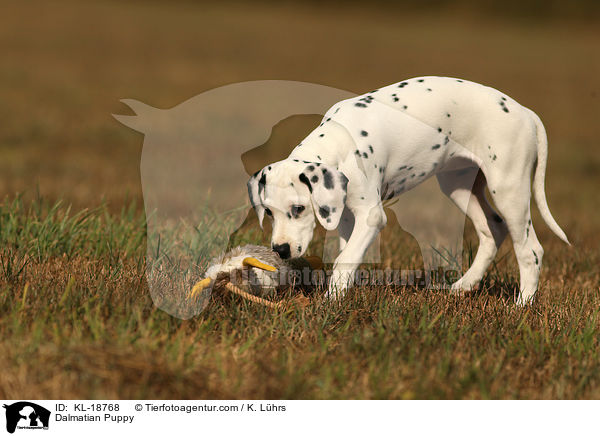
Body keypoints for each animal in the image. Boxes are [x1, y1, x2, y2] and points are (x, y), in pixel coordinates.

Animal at [246, 76, 568, 304]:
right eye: (269, 213)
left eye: (298, 209)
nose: (280, 250)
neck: (340, 141)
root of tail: (525, 112)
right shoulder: (347, 215)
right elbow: (347, 253)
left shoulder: (371, 217)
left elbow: (344, 259)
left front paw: (330, 303)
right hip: (459, 186)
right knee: (493, 229)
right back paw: (463, 286)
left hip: (508, 189)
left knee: (530, 250)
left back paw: (522, 305)